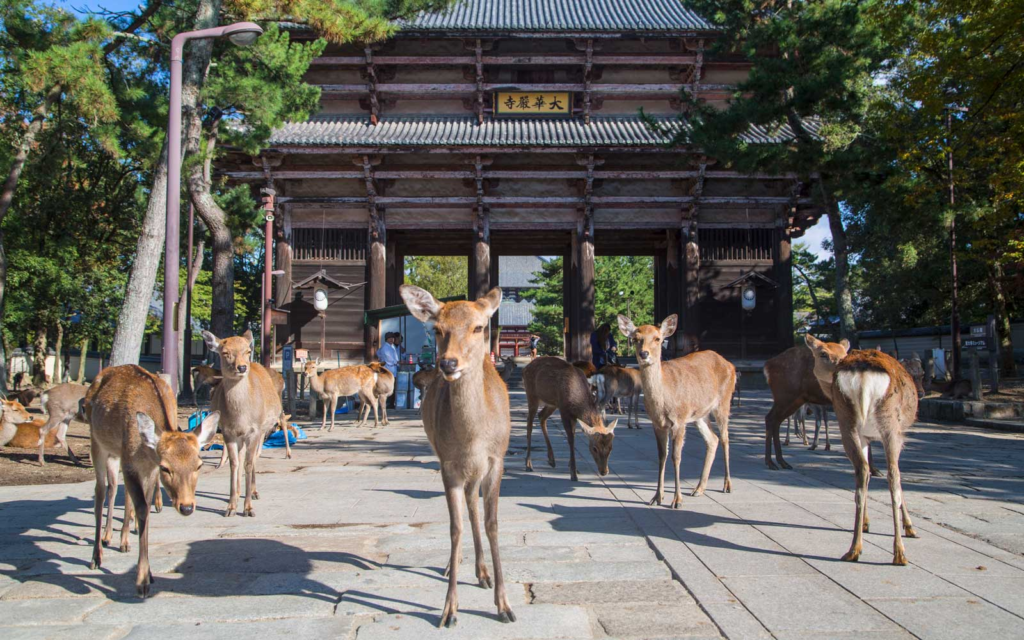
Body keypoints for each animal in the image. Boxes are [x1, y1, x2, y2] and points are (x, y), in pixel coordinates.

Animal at [83, 364, 219, 597]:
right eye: (166, 467)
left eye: (199, 465)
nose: (186, 507)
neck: (145, 451)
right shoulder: (131, 462)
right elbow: (141, 510)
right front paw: (142, 582)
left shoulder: (149, 469)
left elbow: (145, 508)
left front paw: (150, 574)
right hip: (97, 442)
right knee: (100, 491)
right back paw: (96, 556)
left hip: (114, 454)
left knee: (113, 488)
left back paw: (115, 540)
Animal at [202, 329, 283, 517]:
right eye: (225, 352)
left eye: (247, 351)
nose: (242, 367)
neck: (240, 416)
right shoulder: (228, 432)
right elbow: (234, 464)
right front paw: (231, 507)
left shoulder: (254, 430)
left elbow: (248, 463)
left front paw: (248, 509)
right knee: (241, 458)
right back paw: (239, 493)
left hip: (262, 430)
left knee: (253, 458)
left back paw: (253, 492)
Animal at [400, 284, 516, 628]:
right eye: (438, 329)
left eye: (478, 327)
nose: (448, 364)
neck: (472, 439)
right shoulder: (448, 464)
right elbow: (455, 527)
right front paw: (449, 610)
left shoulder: (496, 460)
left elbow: (492, 523)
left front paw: (504, 606)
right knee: (465, 509)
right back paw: (459, 566)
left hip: (476, 471)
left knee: (473, 506)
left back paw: (483, 572)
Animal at [618, 314, 735, 507]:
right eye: (635, 339)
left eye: (658, 339)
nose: (644, 354)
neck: (663, 401)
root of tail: (730, 365)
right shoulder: (657, 424)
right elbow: (661, 455)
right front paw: (656, 497)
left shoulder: (679, 420)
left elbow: (676, 457)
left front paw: (677, 500)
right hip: (699, 414)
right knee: (713, 439)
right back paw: (699, 489)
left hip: (724, 402)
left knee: (725, 438)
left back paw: (727, 485)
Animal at [804, 334, 919, 566]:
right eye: (823, 353)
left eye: (842, 352)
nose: (838, 365)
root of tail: (863, 375)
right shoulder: (898, 433)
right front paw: (909, 526)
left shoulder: (865, 436)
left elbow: (867, 471)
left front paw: (866, 523)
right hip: (889, 423)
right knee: (893, 475)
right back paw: (899, 553)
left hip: (847, 422)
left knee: (861, 471)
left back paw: (854, 548)